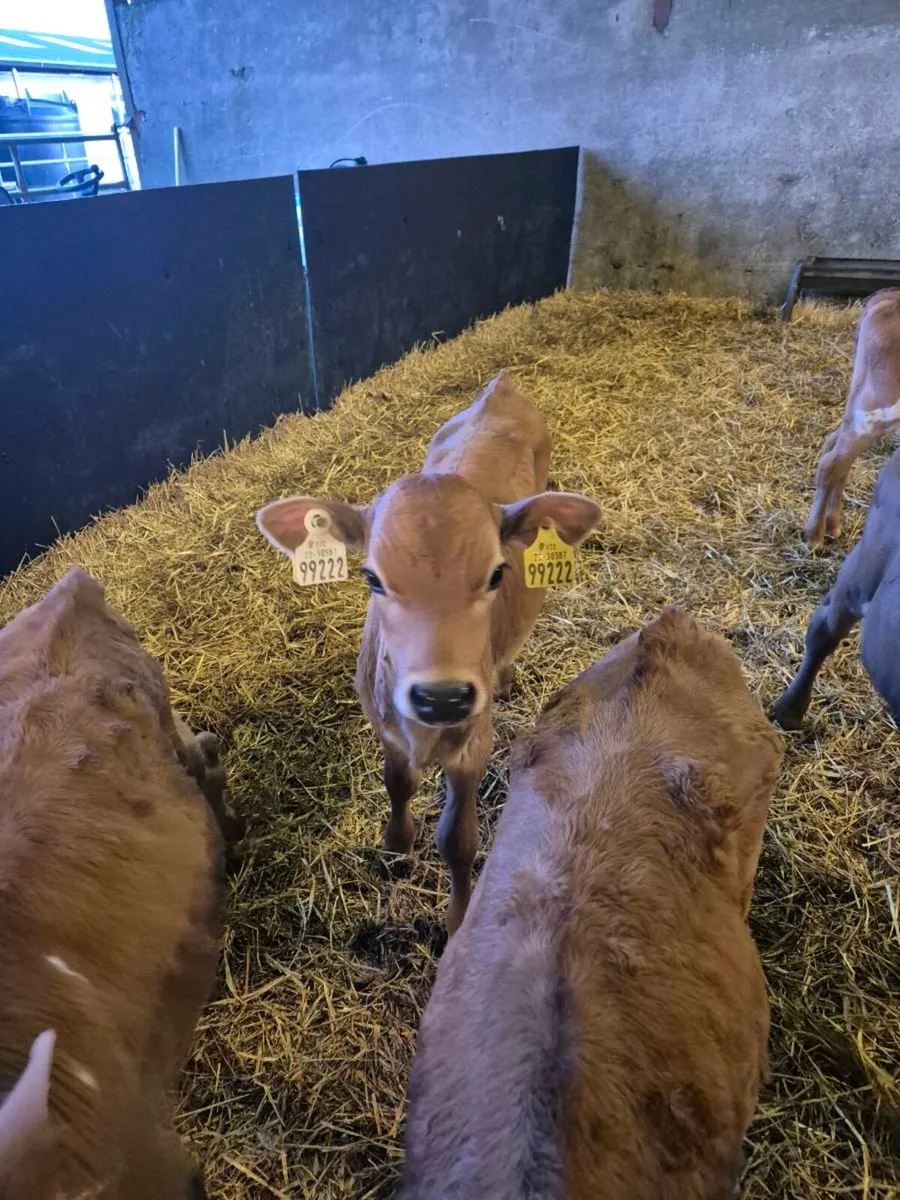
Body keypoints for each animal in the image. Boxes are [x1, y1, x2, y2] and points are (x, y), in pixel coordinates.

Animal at [257, 372, 600, 932]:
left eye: (497, 573)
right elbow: (396, 784)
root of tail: (500, 386)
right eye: (371, 577)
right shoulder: (385, 725)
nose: (442, 697)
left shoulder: (474, 745)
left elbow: (458, 841)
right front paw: (397, 842)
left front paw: (458, 919)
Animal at [805, 288, 900, 551]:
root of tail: (888, 296)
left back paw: (831, 526)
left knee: (833, 444)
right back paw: (814, 535)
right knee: (832, 462)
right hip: (877, 407)